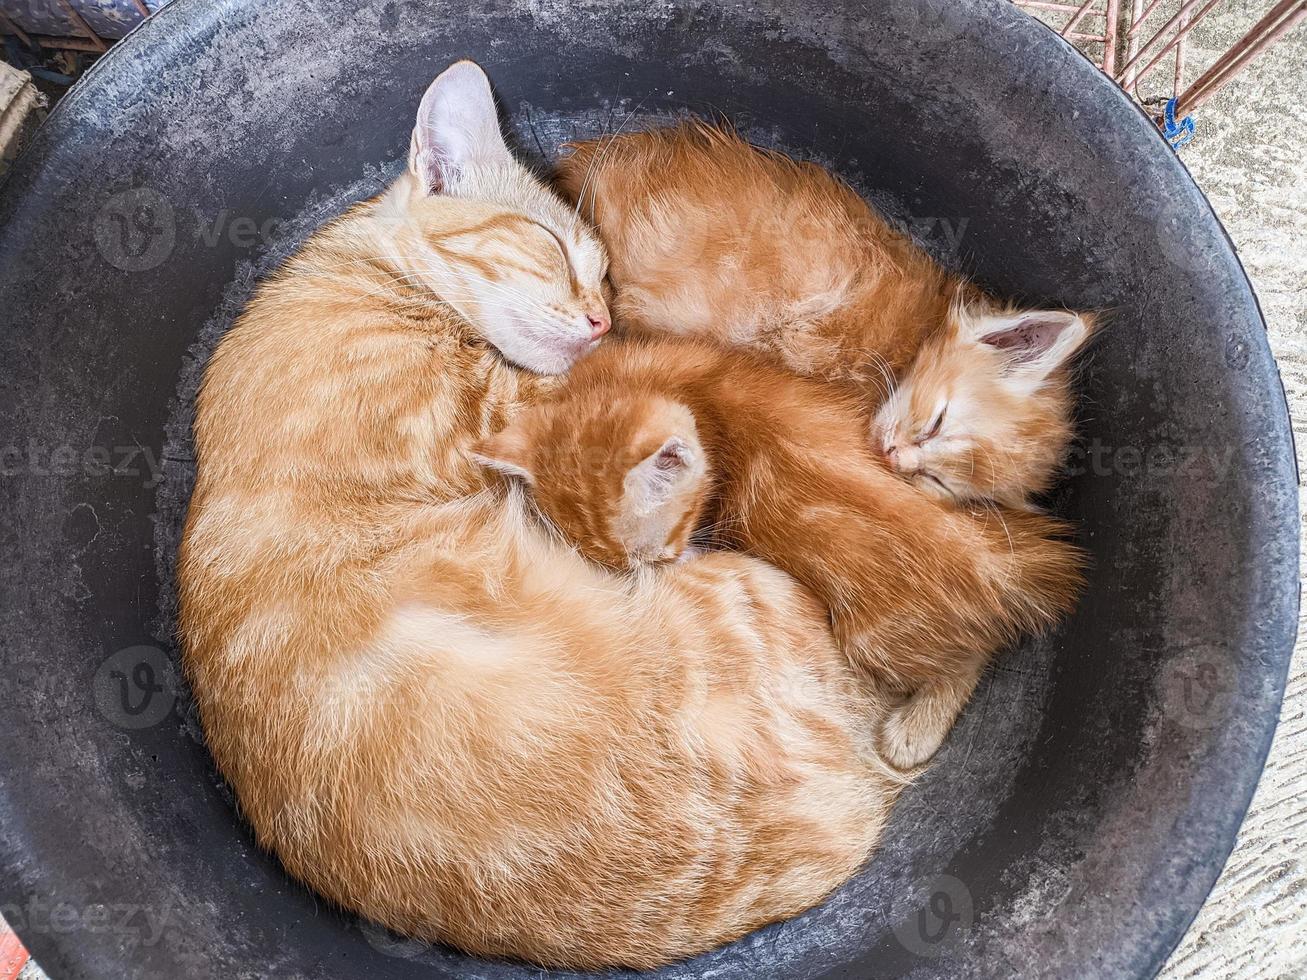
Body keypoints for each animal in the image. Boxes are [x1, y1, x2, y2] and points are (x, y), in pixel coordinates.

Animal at [176, 61, 909, 977]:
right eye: (556, 250)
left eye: (605, 280)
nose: (600, 320)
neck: (360, 273)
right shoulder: (483, 415)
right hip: (748, 592)